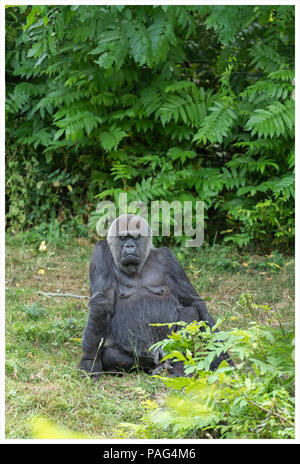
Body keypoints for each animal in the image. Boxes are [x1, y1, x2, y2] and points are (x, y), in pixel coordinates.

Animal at [78, 216, 231, 378]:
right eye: (123, 237)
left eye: (136, 237)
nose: (129, 246)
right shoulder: (100, 252)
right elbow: (102, 303)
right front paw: (89, 361)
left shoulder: (168, 258)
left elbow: (193, 302)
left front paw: (221, 357)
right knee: (111, 355)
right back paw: (155, 367)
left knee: (190, 312)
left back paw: (179, 368)